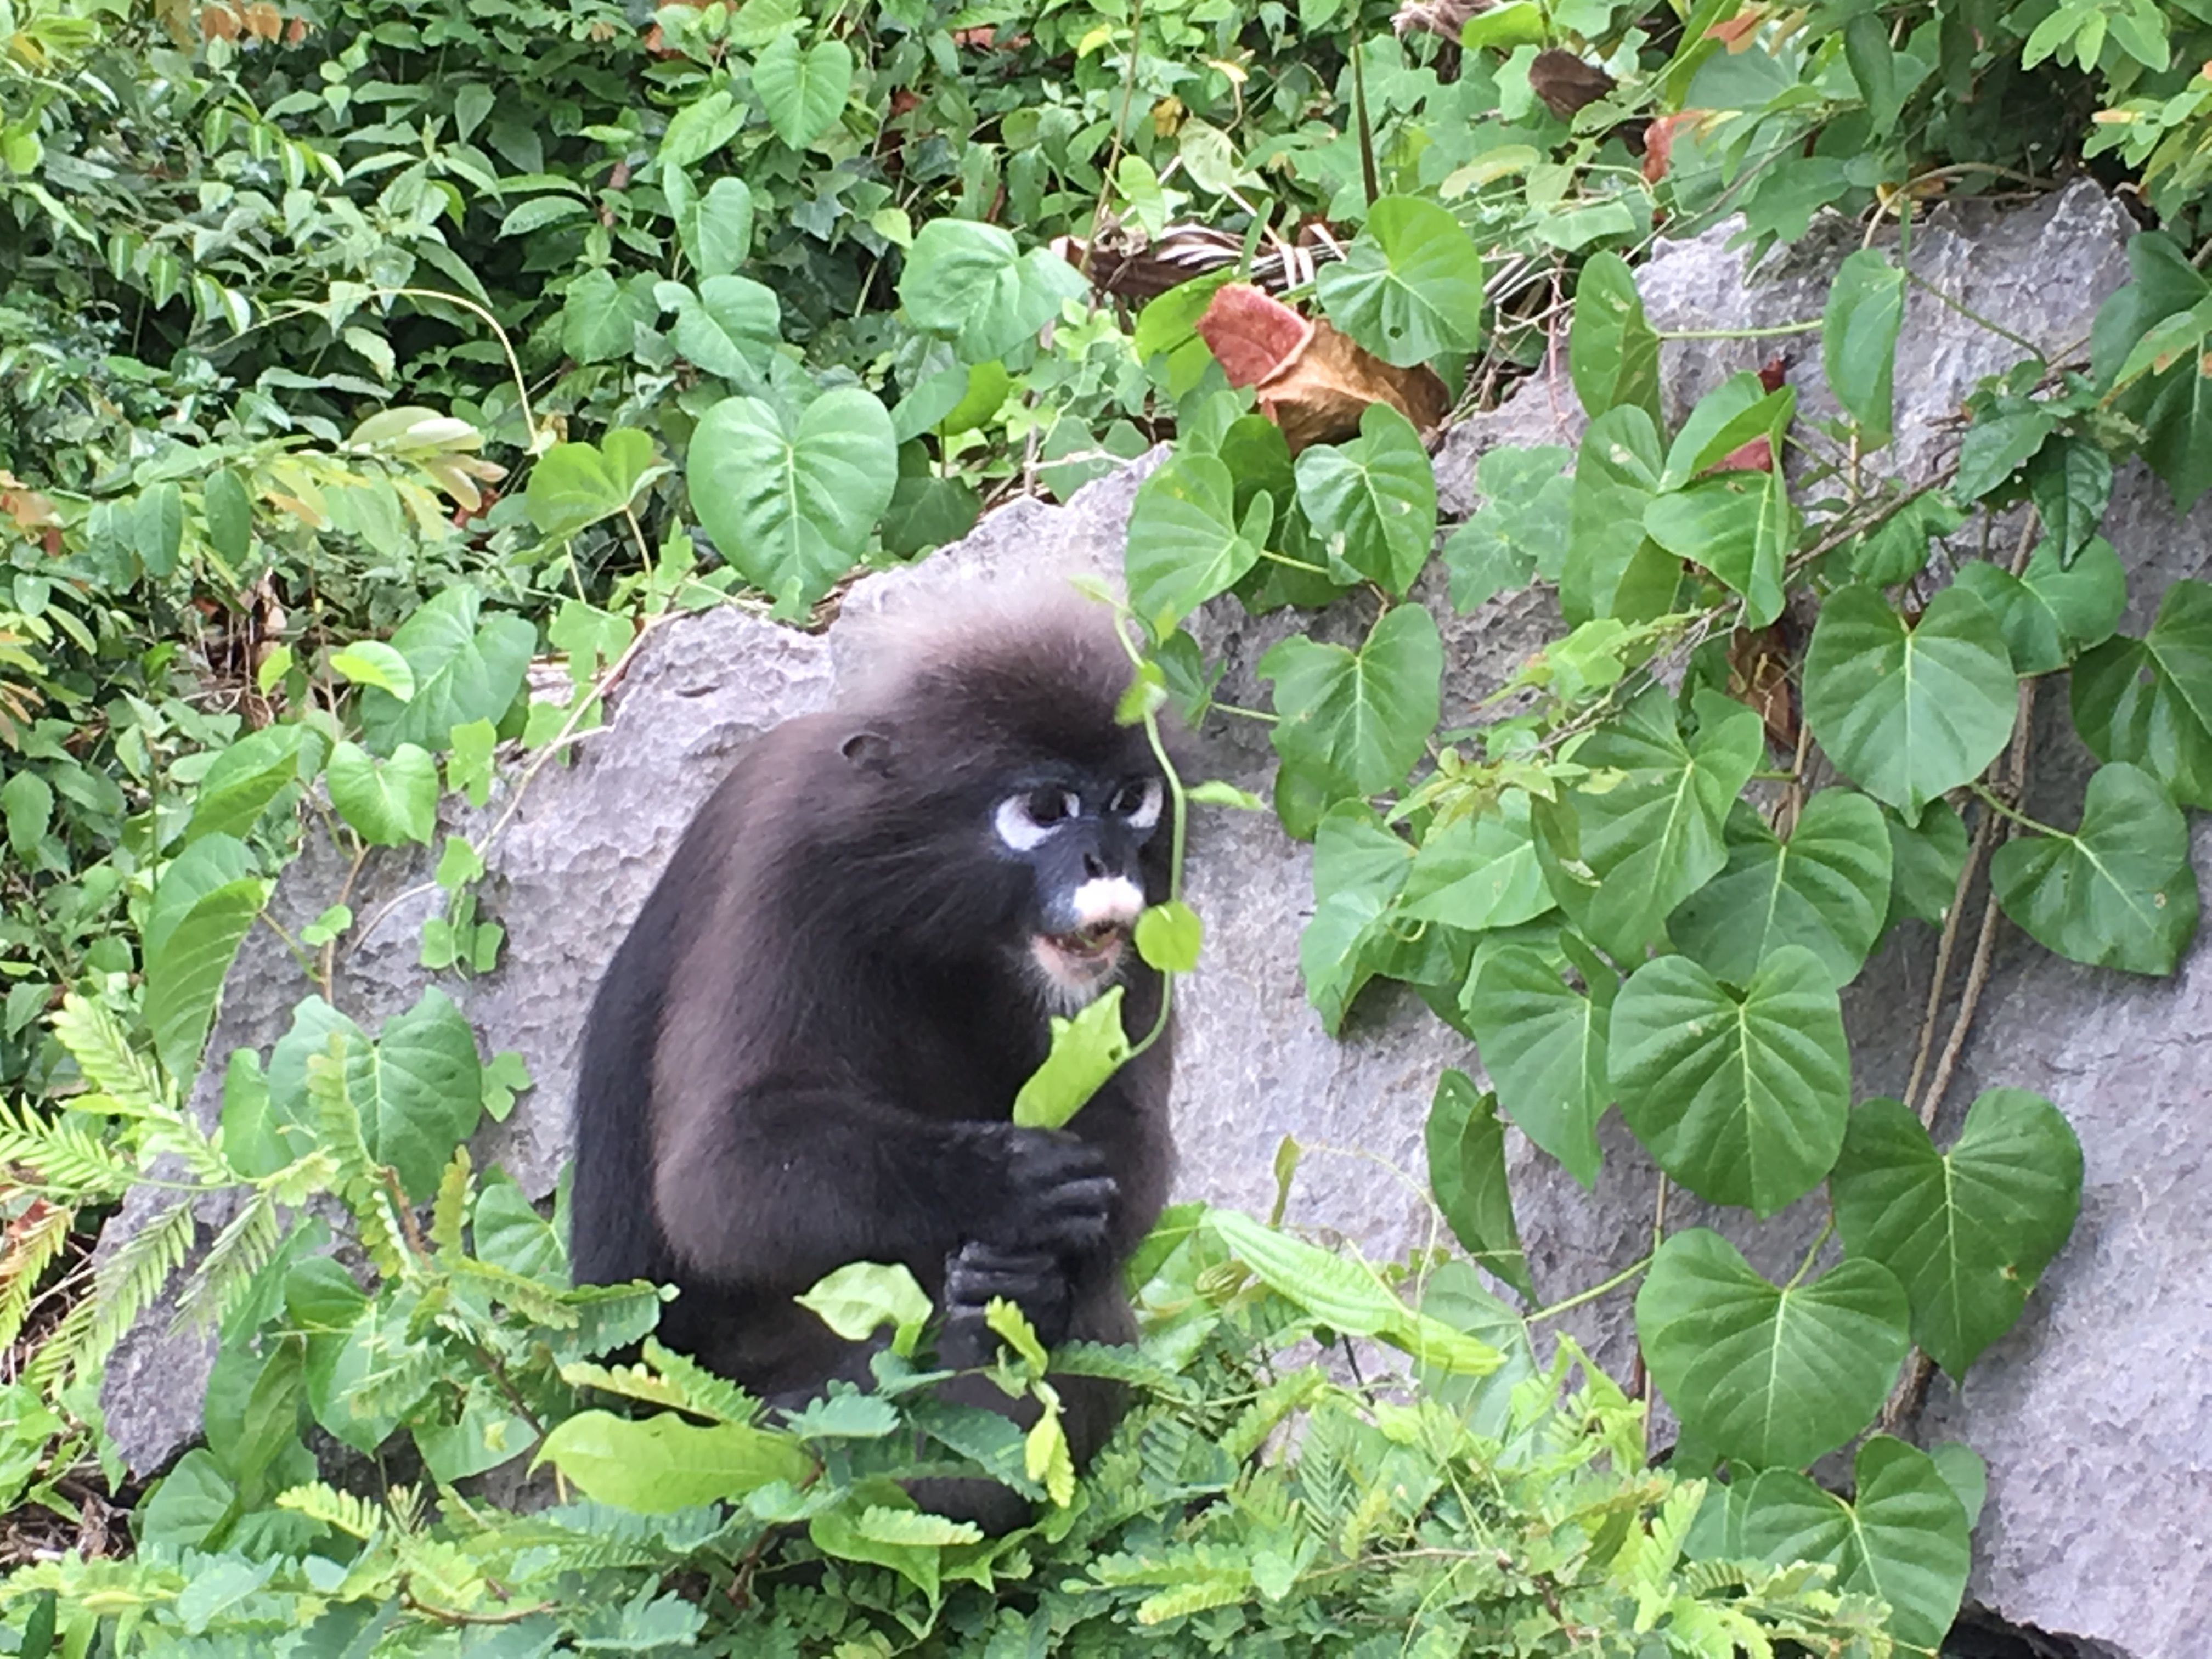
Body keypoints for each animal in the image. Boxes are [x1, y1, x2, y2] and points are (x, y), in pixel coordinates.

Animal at [567, 587, 1177, 1529]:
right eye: (1046, 810)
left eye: (1130, 799)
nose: (1106, 858)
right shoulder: (792, 860)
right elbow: (722, 1171)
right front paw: (1001, 1184)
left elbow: (1132, 1131)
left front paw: (1031, 1270)